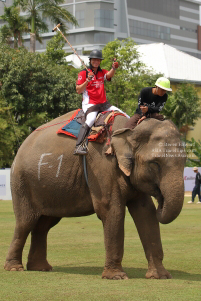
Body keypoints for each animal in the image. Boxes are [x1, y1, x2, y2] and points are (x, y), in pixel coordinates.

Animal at [3, 110, 185, 278]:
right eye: (155, 164)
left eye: (184, 163)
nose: (161, 199)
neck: (129, 128)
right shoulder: (101, 165)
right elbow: (112, 211)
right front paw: (116, 277)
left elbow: (146, 213)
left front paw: (161, 276)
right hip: (22, 182)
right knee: (25, 222)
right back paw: (14, 268)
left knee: (44, 225)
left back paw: (41, 268)